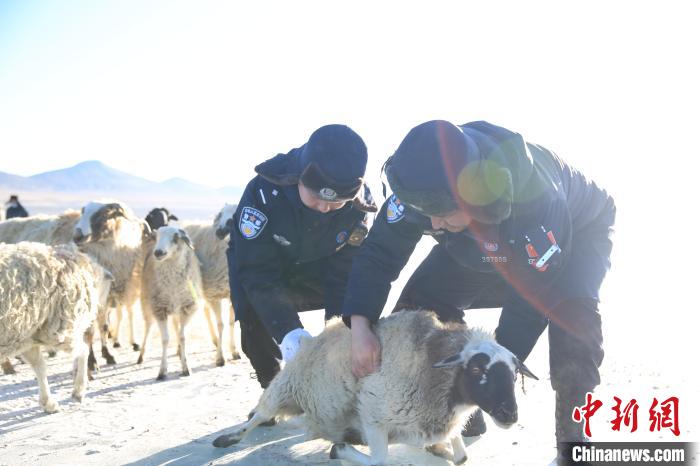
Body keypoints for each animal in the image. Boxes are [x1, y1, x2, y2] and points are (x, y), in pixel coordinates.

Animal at [0, 242, 112, 413]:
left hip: (49, 326)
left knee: (78, 351)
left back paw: (76, 391)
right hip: (34, 330)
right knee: (46, 363)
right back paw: (59, 398)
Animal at [137, 226, 204, 380]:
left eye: (175, 237)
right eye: (157, 237)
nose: (158, 252)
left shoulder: (187, 308)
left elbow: (182, 337)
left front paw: (186, 367)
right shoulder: (159, 308)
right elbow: (165, 339)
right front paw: (162, 371)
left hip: (176, 309)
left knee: (176, 328)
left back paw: (179, 352)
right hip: (146, 303)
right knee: (148, 327)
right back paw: (141, 355)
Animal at [212, 310, 538, 465]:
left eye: (513, 374)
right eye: (476, 369)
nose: (510, 415)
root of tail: (323, 332)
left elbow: (462, 457)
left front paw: (441, 450)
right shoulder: (374, 416)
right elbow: (379, 461)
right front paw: (339, 451)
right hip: (285, 387)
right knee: (258, 415)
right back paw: (228, 439)